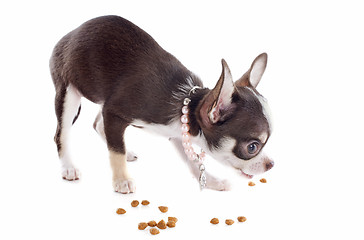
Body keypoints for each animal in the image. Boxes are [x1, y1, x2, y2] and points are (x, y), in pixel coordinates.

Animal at [50, 15, 272, 193]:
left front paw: (210, 181)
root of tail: (70, 33)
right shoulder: (114, 112)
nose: (271, 164)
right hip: (68, 93)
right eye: (252, 147)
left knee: (98, 124)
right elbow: (116, 151)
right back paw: (68, 166)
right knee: (62, 134)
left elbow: (192, 160)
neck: (187, 103)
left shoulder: (178, 133)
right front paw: (122, 180)